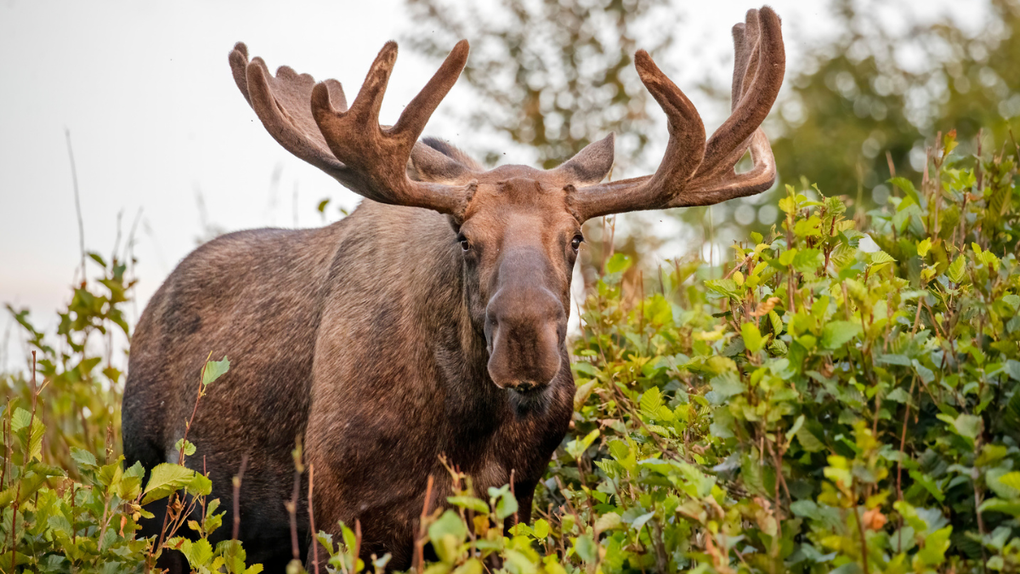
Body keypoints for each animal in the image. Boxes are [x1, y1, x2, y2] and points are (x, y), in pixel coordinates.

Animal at [122, 7, 784, 572]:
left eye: (575, 238)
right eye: (464, 238)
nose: (525, 343)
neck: (464, 428)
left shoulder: (508, 505)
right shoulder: (332, 515)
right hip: (150, 489)